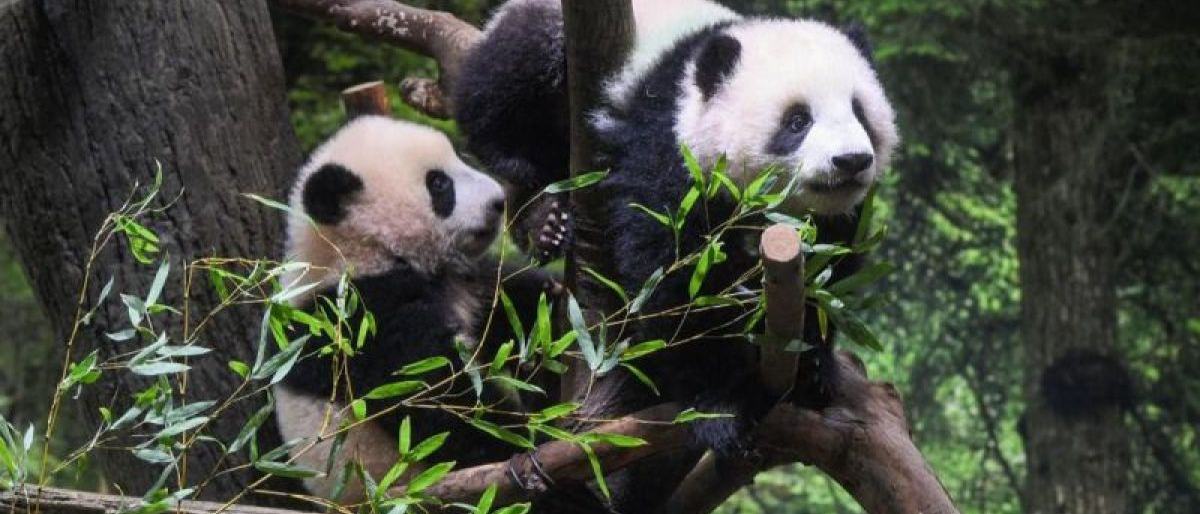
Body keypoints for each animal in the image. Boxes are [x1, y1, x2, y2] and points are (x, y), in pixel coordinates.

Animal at [272, 116, 559, 502]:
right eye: (439, 184)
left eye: (459, 158)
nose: (499, 202)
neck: (362, 251)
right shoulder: (362, 320)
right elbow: (435, 399)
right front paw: (527, 444)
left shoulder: (464, 284)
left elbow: (510, 308)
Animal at [453, 0, 898, 478]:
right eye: (798, 120)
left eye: (860, 112)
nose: (851, 161)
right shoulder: (667, 144)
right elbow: (672, 277)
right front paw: (723, 402)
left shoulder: (836, 220)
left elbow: (829, 274)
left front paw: (811, 369)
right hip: (545, 38)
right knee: (505, 81)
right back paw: (540, 207)